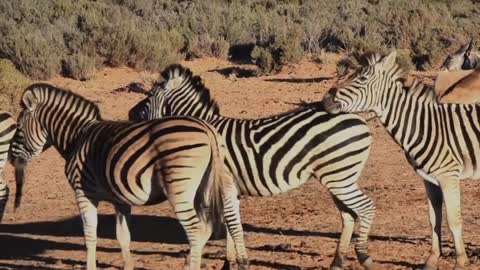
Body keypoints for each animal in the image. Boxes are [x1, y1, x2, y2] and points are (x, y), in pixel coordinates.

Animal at [9, 84, 249, 270]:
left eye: (18, 128)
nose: (11, 159)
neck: (77, 137)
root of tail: (207, 128)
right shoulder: (120, 199)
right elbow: (123, 236)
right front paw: (128, 266)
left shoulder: (83, 192)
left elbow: (90, 234)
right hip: (206, 187)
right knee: (211, 226)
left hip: (179, 189)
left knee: (195, 230)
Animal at [129, 64, 376, 268]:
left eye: (149, 95)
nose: (130, 114)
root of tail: (356, 117)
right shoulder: (232, 189)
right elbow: (232, 224)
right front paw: (229, 263)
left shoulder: (225, 184)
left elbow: (232, 225)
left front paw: (242, 262)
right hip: (338, 176)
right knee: (348, 215)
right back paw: (338, 261)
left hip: (338, 177)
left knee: (366, 208)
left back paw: (364, 256)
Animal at [320, 51, 478, 270]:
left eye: (361, 78)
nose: (325, 100)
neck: (423, 126)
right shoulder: (429, 179)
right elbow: (433, 220)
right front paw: (431, 260)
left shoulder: (449, 177)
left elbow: (454, 220)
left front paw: (461, 262)